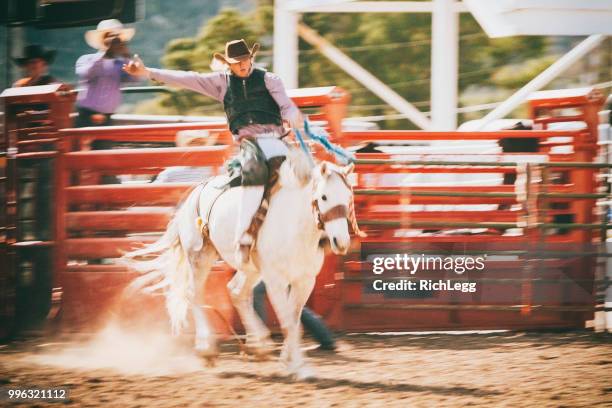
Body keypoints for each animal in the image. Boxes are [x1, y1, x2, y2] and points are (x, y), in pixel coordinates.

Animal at [122, 151, 358, 380]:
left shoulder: (305, 281)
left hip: (250, 268)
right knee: (195, 294)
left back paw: (258, 344)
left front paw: (289, 361)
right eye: (324, 197)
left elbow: (294, 322)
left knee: (235, 292)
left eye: (348, 197)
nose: (341, 242)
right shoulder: (275, 281)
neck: (295, 227)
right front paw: (298, 367)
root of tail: (194, 194)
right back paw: (207, 348)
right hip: (200, 256)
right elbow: (288, 324)